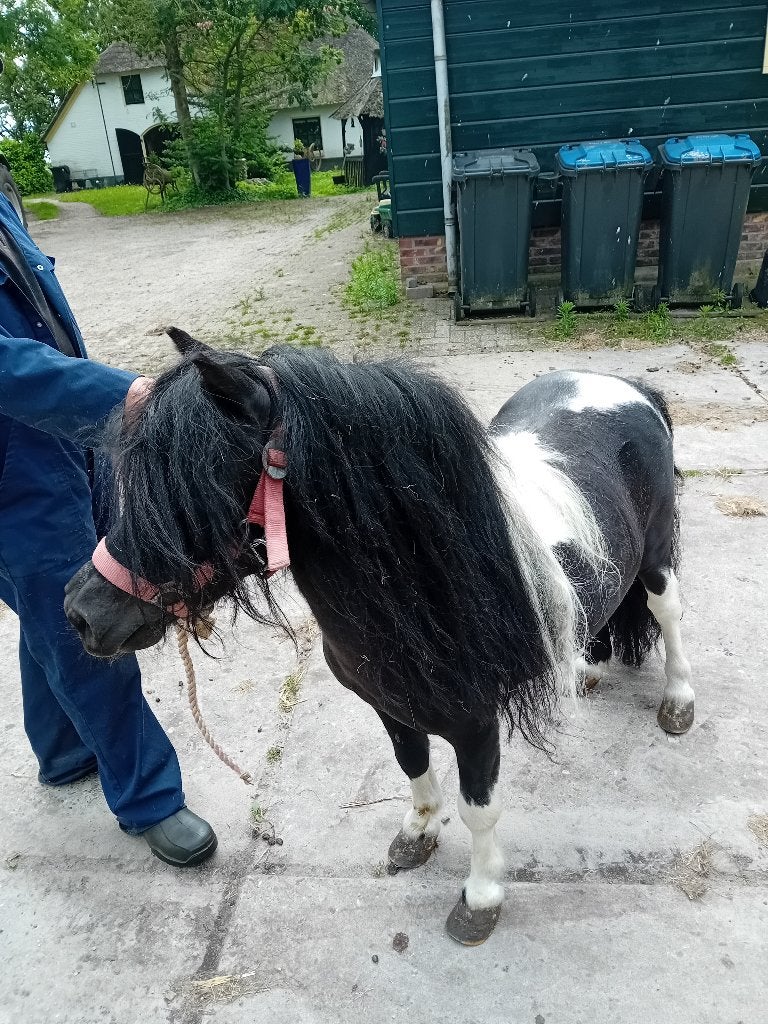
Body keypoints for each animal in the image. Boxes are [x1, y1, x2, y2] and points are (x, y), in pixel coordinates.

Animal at [64, 331, 693, 945]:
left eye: (197, 488)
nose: (80, 613)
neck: (428, 594)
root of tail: (626, 388)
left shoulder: (477, 724)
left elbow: (479, 810)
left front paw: (481, 899)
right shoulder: (388, 705)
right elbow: (410, 762)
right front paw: (418, 833)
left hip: (657, 558)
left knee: (665, 611)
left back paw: (678, 702)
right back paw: (584, 670)